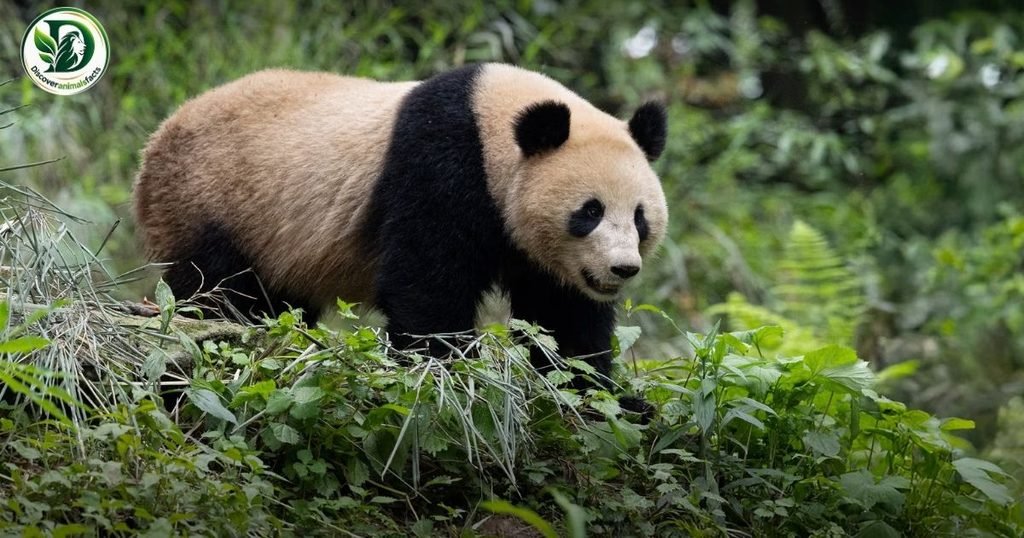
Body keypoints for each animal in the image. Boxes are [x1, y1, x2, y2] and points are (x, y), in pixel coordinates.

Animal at [134, 63, 668, 406]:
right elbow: (426, 281)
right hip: (211, 201)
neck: (493, 119)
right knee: (218, 291)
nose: (622, 269)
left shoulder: (542, 254)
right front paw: (453, 376)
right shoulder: (441, 163)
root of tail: (157, 139)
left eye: (640, 217)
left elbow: (562, 316)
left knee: (280, 306)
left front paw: (602, 397)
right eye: (590, 212)